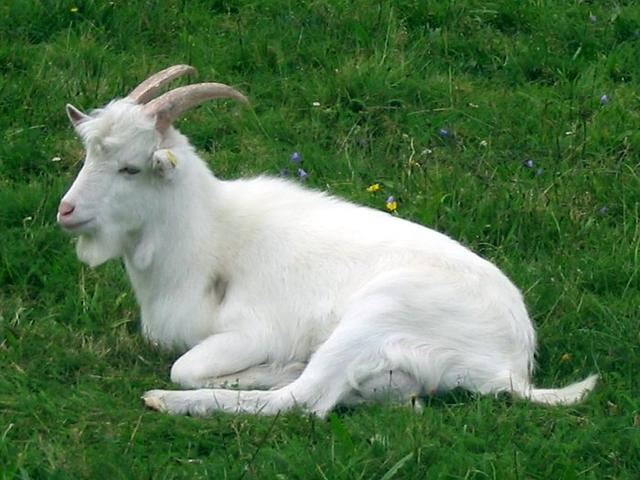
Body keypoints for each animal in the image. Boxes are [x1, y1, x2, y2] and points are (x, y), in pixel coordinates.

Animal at [58, 65, 597, 416]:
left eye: (130, 168)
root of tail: (510, 363)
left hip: (379, 311)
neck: (210, 234)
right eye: (89, 155)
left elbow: (184, 366)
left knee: (304, 400)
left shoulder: (250, 330)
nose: (66, 211)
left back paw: (177, 400)